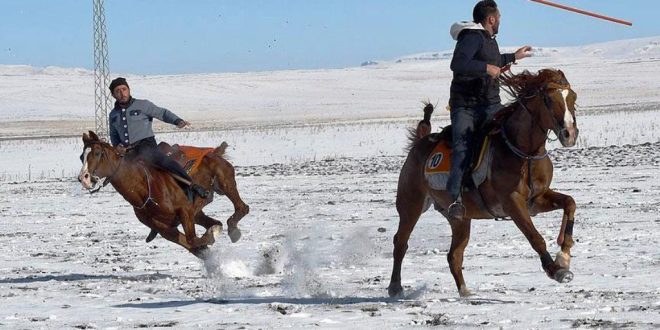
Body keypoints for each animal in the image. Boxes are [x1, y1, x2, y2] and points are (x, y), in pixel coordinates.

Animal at [78, 131, 249, 258]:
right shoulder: (165, 229)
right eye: (82, 156)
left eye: (97, 153)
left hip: (225, 182)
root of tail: (214, 151)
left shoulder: (184, 211)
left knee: (242, 207)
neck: (144, 188)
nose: (83, 178)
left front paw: (212, 235)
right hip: (198, 211)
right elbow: (192, 243)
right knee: (215, 220)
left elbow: (193, 239)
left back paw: (233, 230)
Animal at [390, 69, 580, 296]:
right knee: (401, 242)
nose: (570, 134)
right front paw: (556, 270)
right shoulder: (512, 202)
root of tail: (420, 142)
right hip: (411, 204)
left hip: (459, 219)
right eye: (548, 100)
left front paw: (564, 256)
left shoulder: (537, 198)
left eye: (573, 97)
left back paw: (465, 292)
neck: (522, 152)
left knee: (454, 255)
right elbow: (535, 237)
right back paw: (395, 287)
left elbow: (570, 203)